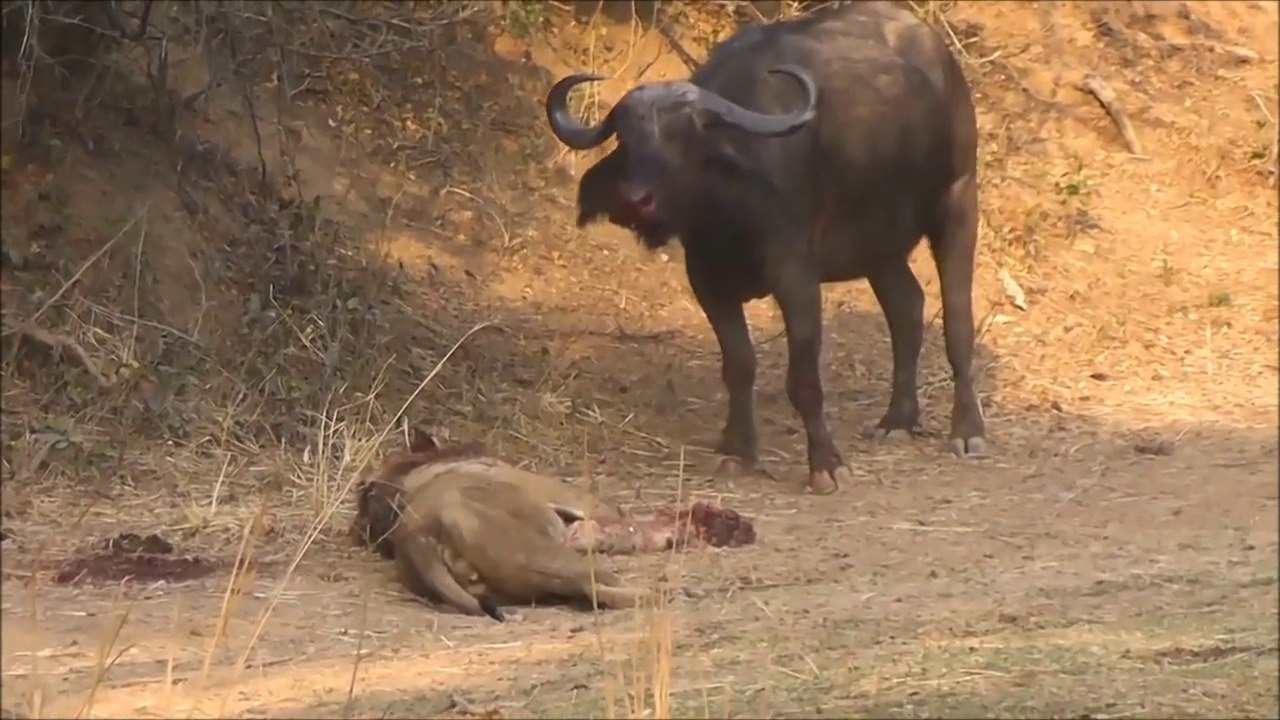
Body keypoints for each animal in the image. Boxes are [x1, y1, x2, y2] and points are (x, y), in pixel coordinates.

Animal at [545, 1, 986, 494]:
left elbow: (804, 380)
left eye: (685, 136)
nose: (634, 200)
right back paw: (898, 419)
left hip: (958, 199)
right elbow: (739, 365)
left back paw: (967, 430)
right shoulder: (707, 280)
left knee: (958, 319)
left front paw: (825, 463)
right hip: (879, 246)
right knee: (907, 308)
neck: (728, 214)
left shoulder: (795, 277)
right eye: (625, 136)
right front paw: (738, 449)